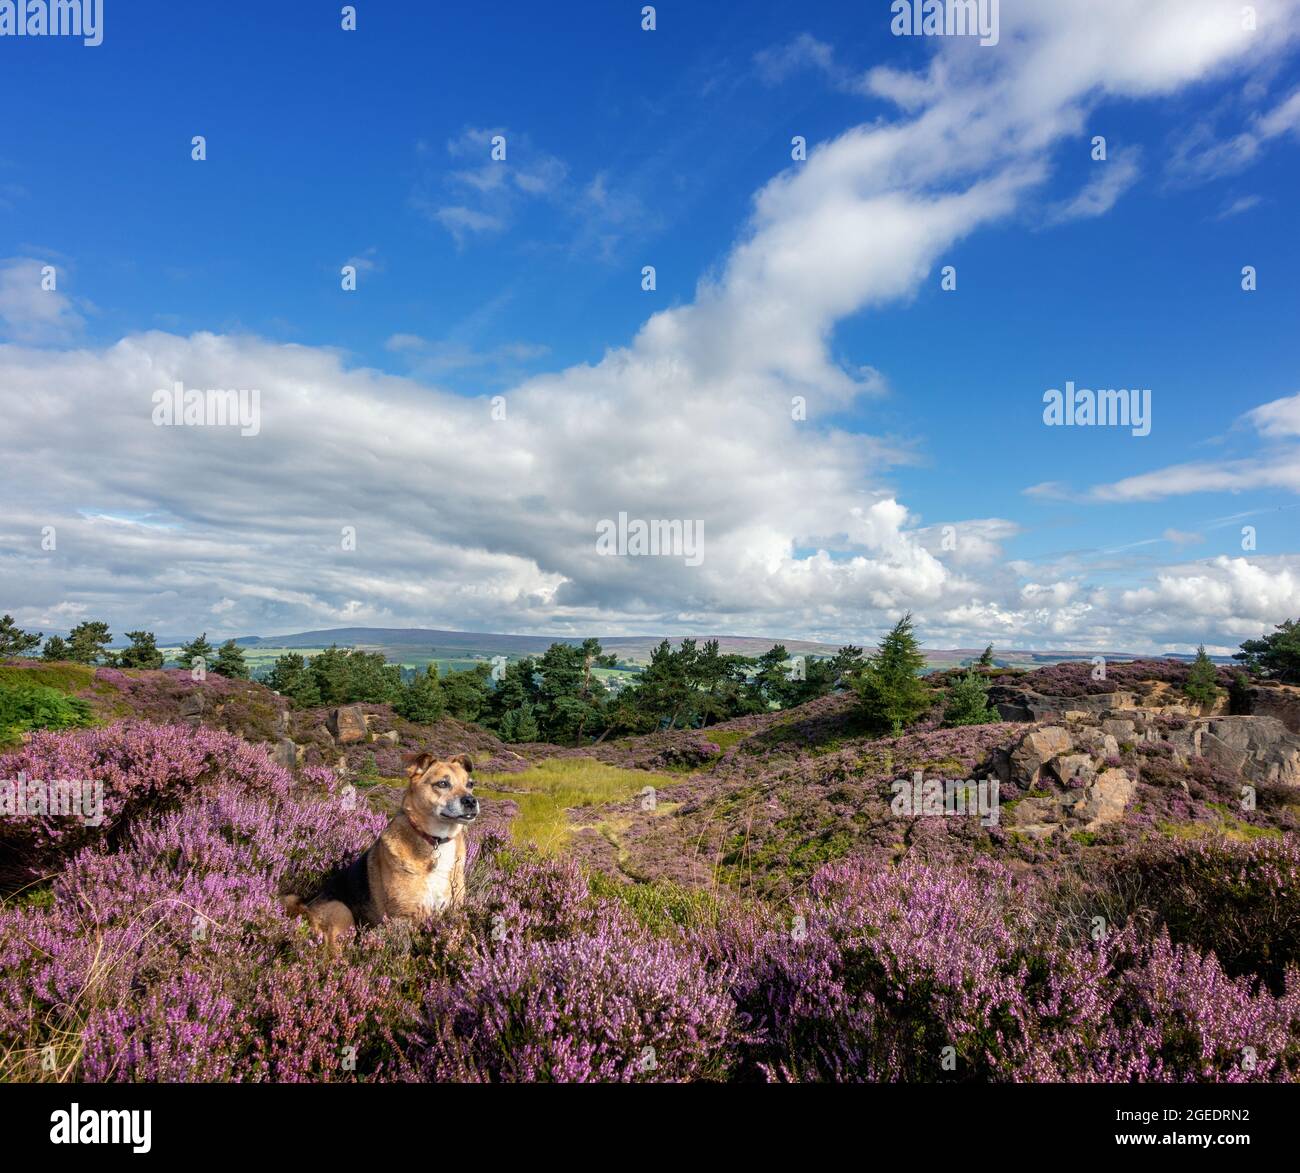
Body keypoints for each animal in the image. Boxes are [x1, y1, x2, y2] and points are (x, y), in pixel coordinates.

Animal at [284, 754, 483, 957]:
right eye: (442, 783)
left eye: (470, 784)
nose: (471, 801)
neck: (435, 841)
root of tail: (305, 905)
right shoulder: (403, 918)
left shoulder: (453, 912)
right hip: (341, 913)